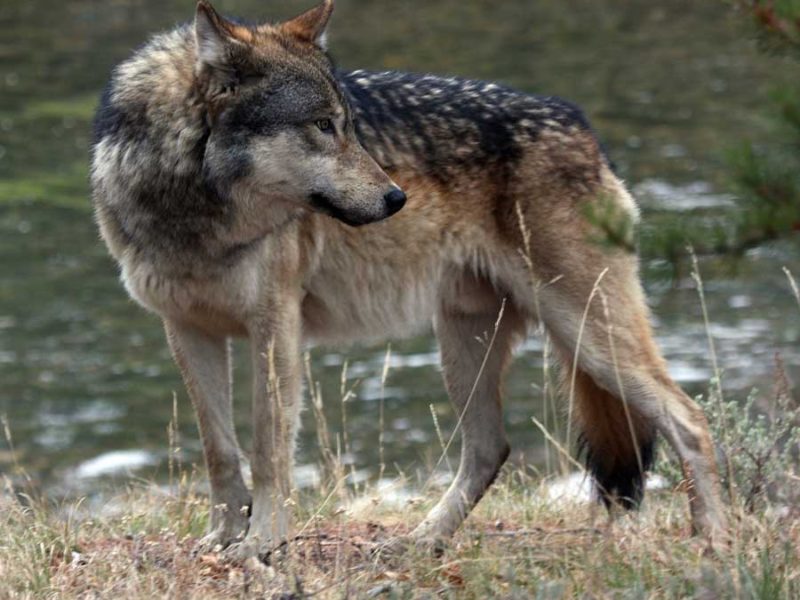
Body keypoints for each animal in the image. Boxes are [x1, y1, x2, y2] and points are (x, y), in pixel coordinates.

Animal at [90, 1, 728, 564]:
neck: (192, 210)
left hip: (586, 334)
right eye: (323, 126)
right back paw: (422, 541)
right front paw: (222, 540)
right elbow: (219, 450)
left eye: (348, 126)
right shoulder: (186, 328)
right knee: (490, 449)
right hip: (470, 343)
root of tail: (584, 128)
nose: (397, 198)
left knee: (690, 419)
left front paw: (261, 544)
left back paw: (714, 538)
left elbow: (269, 449)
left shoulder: (275, 326)